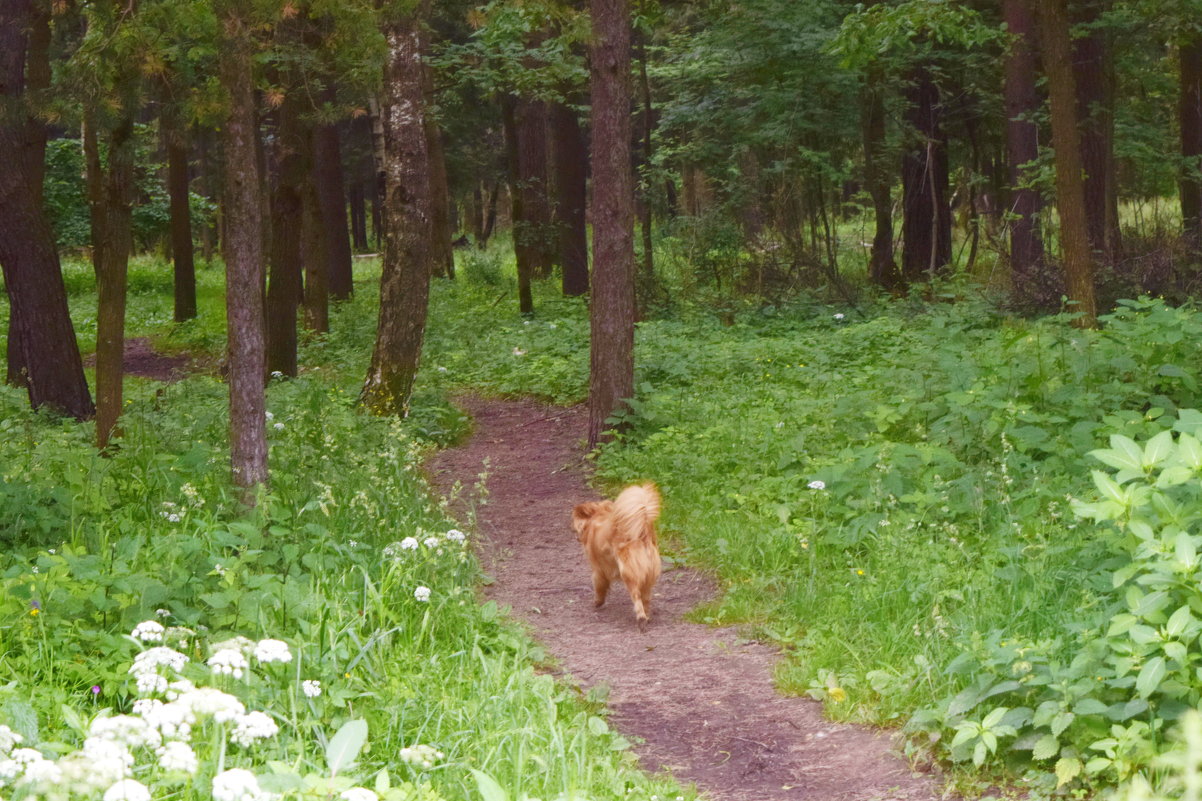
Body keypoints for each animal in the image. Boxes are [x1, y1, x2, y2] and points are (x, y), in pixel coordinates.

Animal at [569, 481, 663, 630]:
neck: (597, 516)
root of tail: (642, 535)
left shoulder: (598, 570)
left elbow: (599, 587)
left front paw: (598, 602)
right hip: (648, 578)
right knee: (646, 599)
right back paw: (647, 617)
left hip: (628, 574)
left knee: (637, 597)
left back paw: (641, 619)